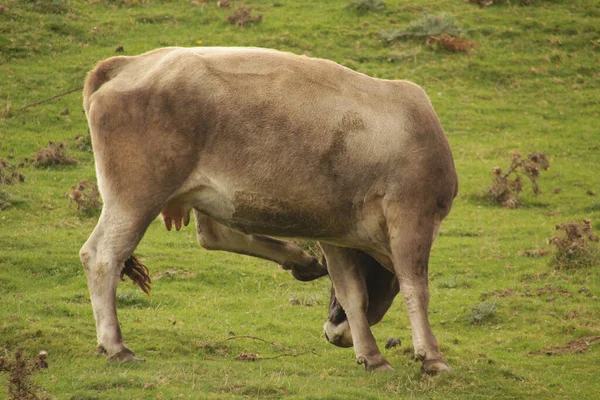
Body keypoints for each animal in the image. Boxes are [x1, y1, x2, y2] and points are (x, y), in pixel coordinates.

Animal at [81, 47, 460, 376]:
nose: (333, 333)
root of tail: (131, 63)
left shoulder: (336, 232)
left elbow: (352, 293)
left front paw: (371, 355)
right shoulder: (412, 213)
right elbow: (414, 286)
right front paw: (432, 357)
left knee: (212, 235)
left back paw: (300, 260)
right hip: (135, 197)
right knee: (101, 256)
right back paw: (115, 345)